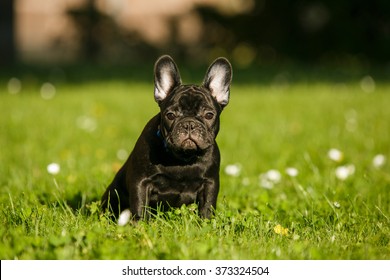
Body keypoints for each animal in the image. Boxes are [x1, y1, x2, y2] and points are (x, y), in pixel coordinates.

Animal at [102, 55, 233, 221]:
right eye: (170, 115)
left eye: (209, 115)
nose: (189, 124)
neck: (183, 158)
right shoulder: (141, 182)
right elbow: (139, 206)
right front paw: (140, 225)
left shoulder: (210, 183)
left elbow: (207, 206)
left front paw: (206, 223)